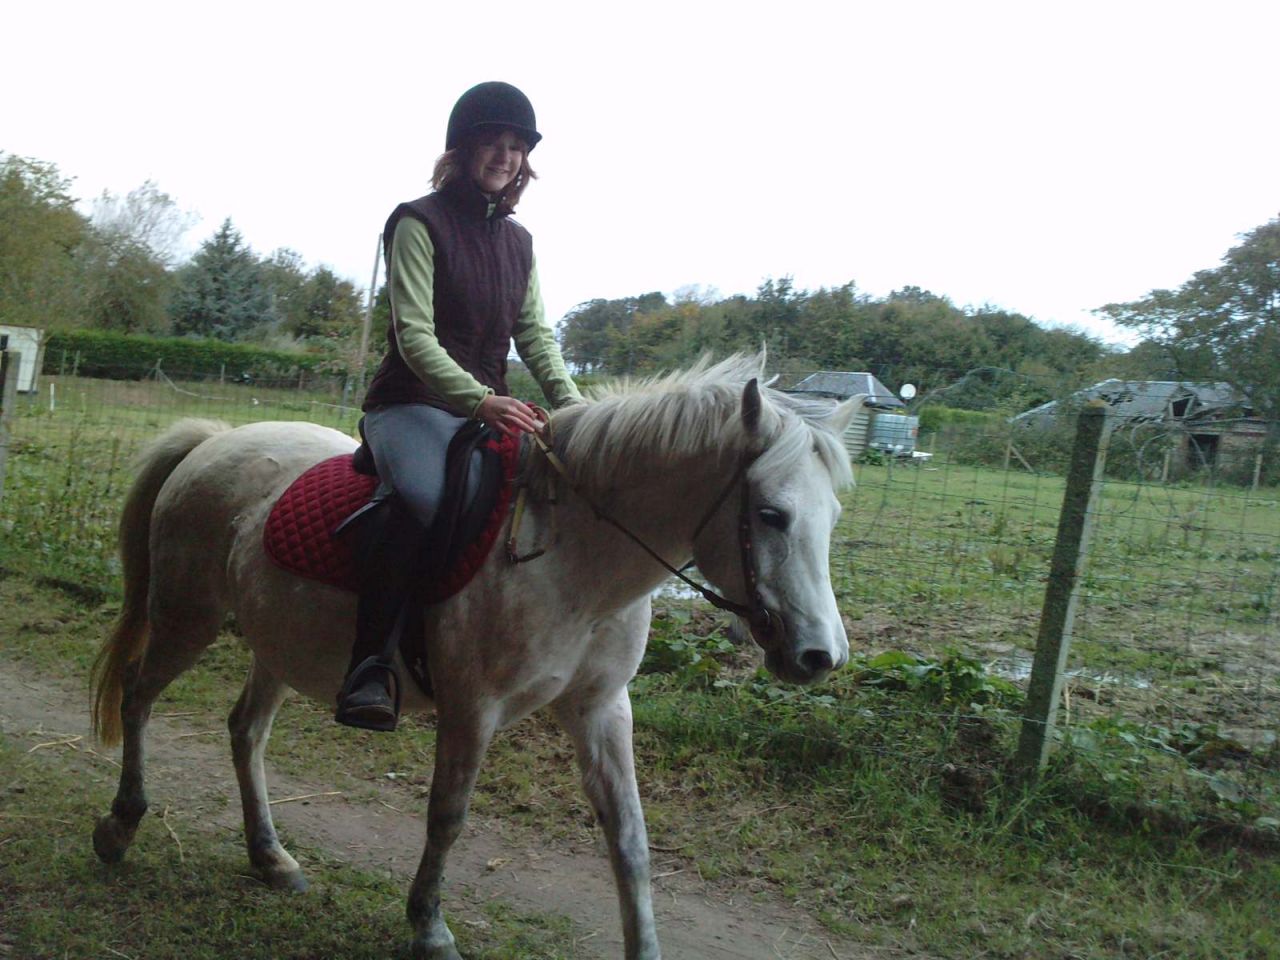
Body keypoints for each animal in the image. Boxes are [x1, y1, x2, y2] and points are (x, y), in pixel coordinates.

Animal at [88, 353, 863, 960]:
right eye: (770, 515)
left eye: (833, 518)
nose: (819, 655)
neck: (571, 555)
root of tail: (215, 441)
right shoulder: (473, 709)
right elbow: (449, 817)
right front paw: (429, 929)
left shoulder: (601, 709)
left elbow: (632, 839)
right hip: (187, 617)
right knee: (136, 694)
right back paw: (121, 826)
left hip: (277, 643)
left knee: (245, 732)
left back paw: (269, 857)